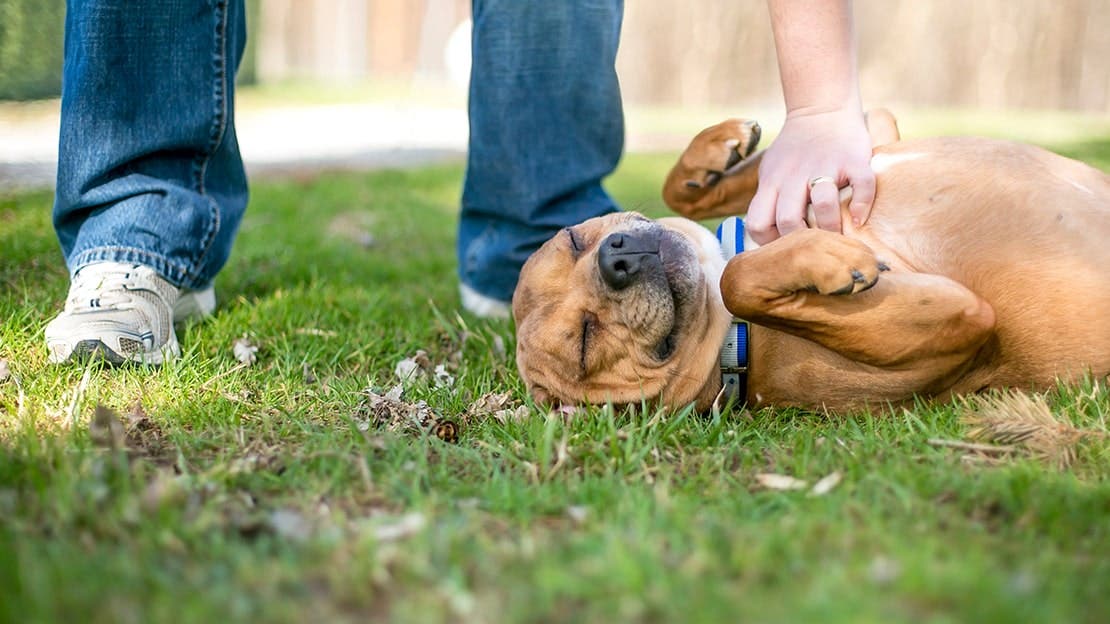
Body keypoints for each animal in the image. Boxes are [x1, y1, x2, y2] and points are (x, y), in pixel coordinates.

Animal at [510, 110, 1110, 413]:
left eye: (572, 239)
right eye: (585, 340)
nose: (615, 260)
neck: (733, 341)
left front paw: (715, 155)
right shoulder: (962, 323)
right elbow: (737, 279)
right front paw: (830, 260)